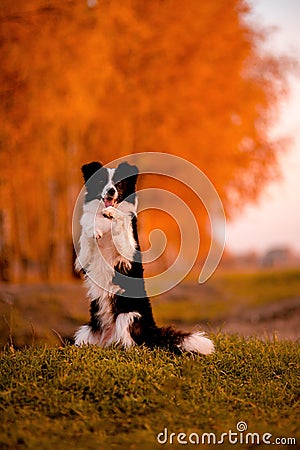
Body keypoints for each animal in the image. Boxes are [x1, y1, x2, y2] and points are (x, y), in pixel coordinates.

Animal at [74, 160, 214, 354]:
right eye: (101, 181)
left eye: (119, 184)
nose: (111, 191)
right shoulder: (84, 258)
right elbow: (87, 226)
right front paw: (93, 227)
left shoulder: (127, 253)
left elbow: (122, 225)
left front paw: (115, 215)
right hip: (86, 330)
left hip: (129, 316)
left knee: (133, 343)